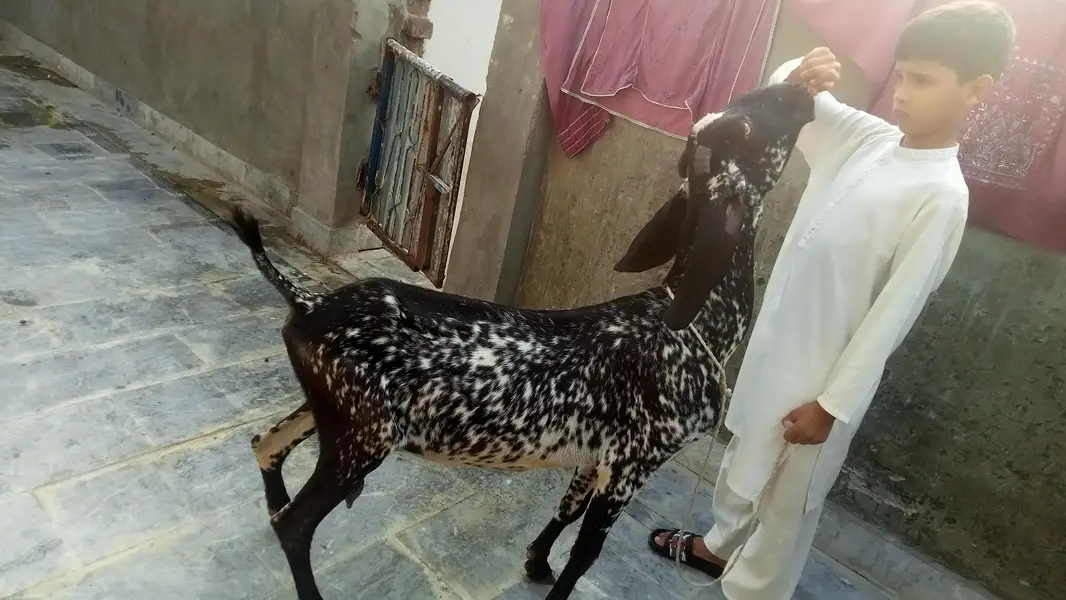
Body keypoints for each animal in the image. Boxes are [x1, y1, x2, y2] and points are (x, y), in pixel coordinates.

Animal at [229, 81, 814, 600]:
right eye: (745, 125)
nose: (803, 93)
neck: (692, 324)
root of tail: (306, 302)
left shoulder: (598, 453)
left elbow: (568, 507)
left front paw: (536, 561)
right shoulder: (635, 461)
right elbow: (586, 555)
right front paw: (551, 574)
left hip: (334, 412)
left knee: (265, 446)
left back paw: (271, 503)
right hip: (365, 435)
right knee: (295, 524)